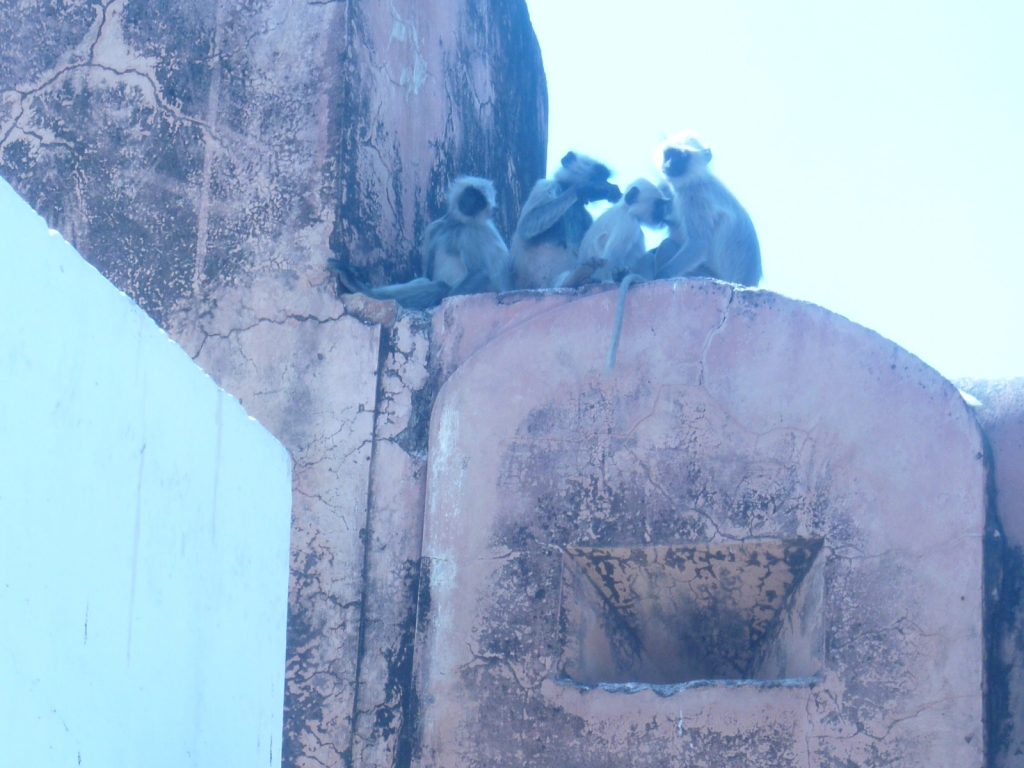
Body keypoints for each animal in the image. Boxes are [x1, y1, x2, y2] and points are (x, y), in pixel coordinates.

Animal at [327, 176, 512, 311]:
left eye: (481, 202)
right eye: (471, 194)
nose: (471, 203)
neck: (455, 225)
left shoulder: (470, 232)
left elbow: (480, 272)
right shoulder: (435, 228)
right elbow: (427, 274)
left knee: (440, 287)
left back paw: (361, 288)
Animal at [512, 151, 622, 290]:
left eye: (605, 177)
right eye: (598, 175)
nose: (606, 184)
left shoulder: (584, 214)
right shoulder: (546, 186)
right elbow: (527, 225)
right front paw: (584, 187)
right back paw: (575, 278)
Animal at [647, 132, 761, 288]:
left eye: (682, 156)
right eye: (669, 154)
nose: (669, 164)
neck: (696, 179)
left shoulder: (695, 197)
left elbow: (700, 243)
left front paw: (659, 276)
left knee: (667, 245)